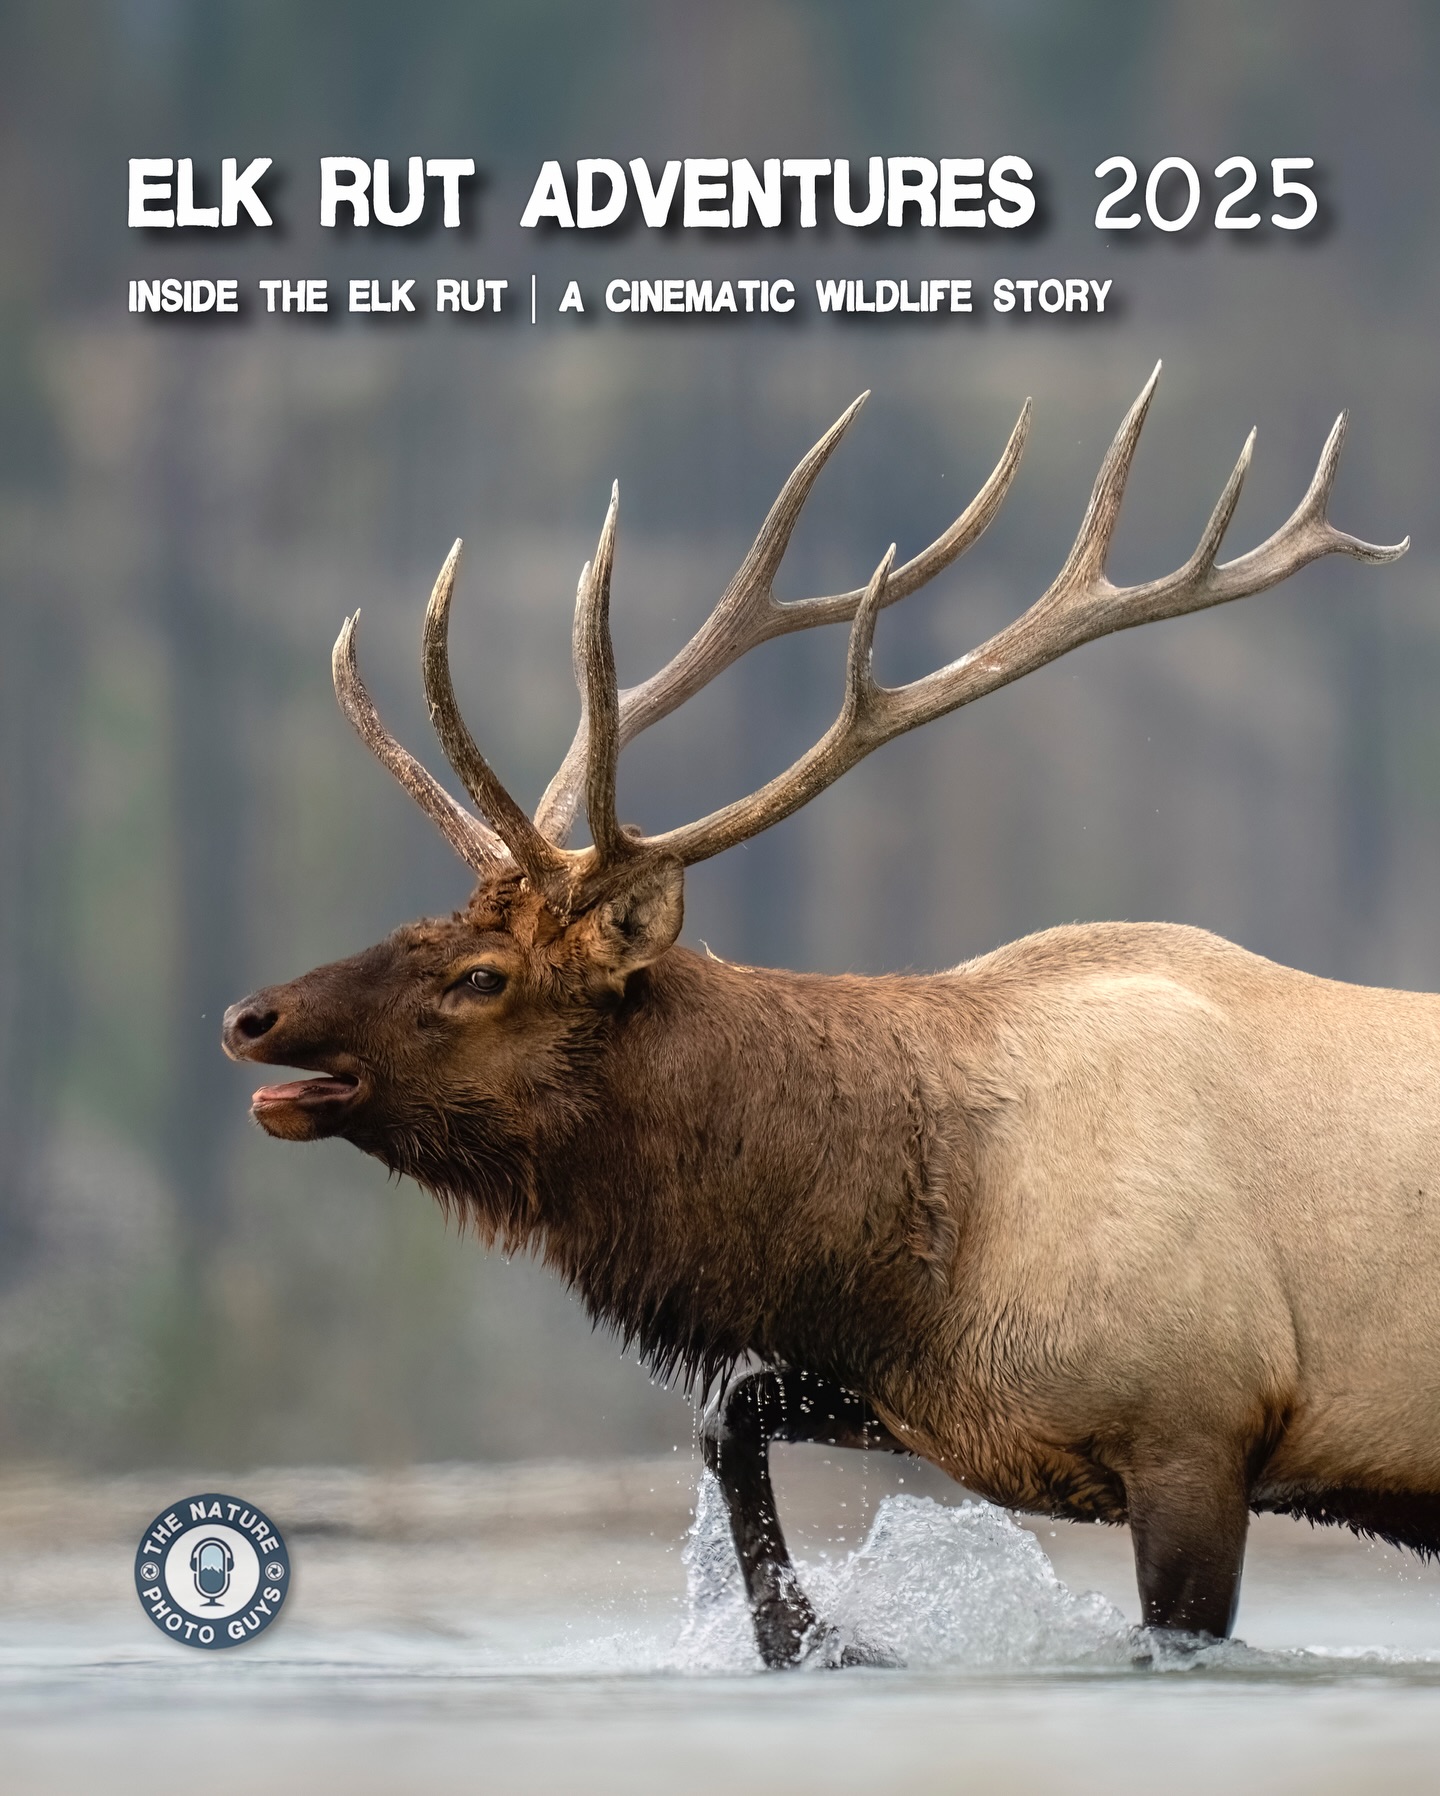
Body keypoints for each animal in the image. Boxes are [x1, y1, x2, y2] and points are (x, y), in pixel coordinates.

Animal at [222, 364, 1419, 1668]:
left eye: (485, 973)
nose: (250, 1013)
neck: (921, 1238)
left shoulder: (1195, 1429)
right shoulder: (935, 1398)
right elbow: (727, 1413)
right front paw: (811, 1634)